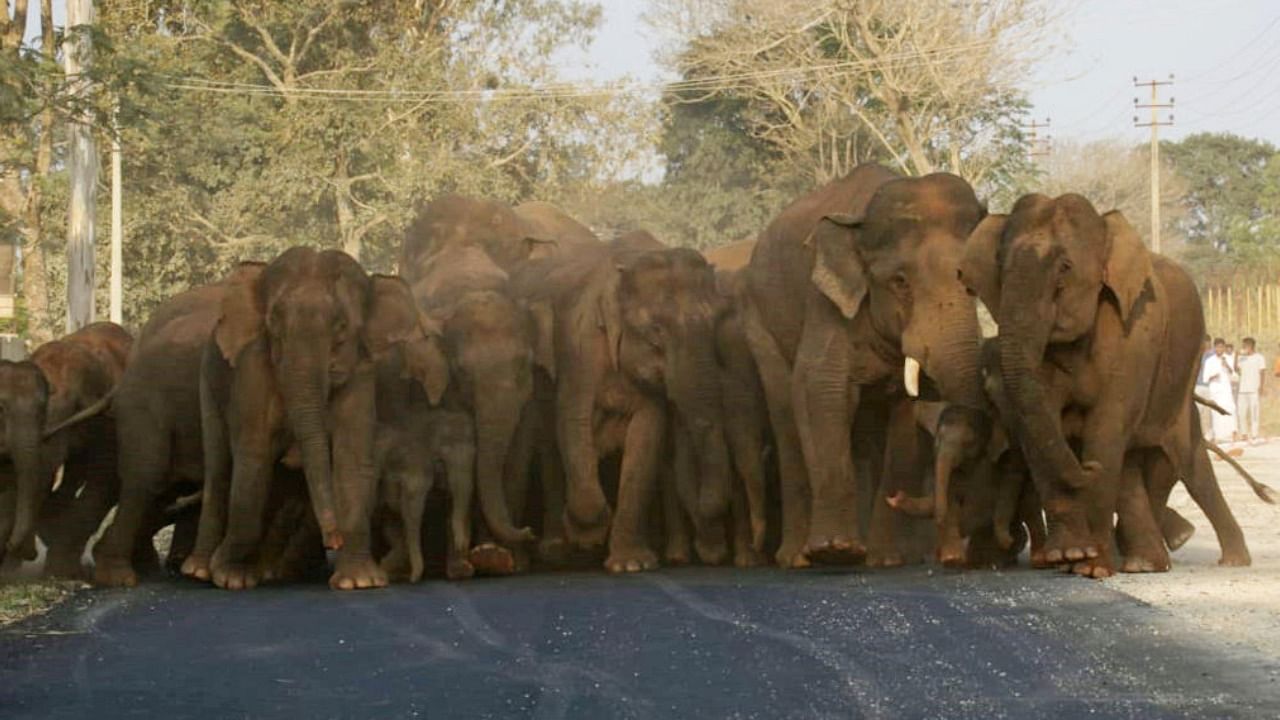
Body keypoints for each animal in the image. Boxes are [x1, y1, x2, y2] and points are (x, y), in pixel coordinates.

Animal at [742, 163, 988, 566]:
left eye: (972, 280)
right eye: (899, 281)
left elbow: (904, 422)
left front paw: (883, 560)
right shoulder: (824, 302)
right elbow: (820, 389)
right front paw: (834, 551)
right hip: (761, 327)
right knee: (786, 416)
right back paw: (795, 558)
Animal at [962, 193, 1249, 573]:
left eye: (1065, 267)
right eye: (1000, 267)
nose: (1088, 467)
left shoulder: (1135, 334)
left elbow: (1106, 427)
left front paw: (1091, 568)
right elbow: (1043, 427)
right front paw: (1065, 557)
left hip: (1182, 378)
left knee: (1182, 459)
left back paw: (1220, 559)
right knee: (1135, 464)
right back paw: (1144, 560)